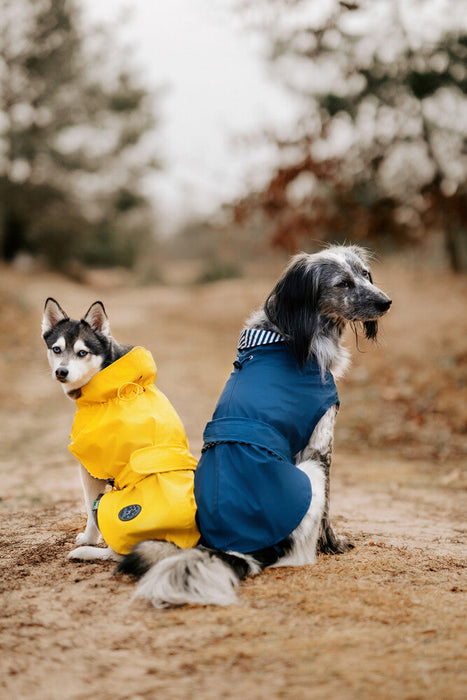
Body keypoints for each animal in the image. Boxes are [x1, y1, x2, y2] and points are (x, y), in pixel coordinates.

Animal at [119, 246, 394, 608]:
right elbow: (327, 512)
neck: (293, 336)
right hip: (309, 474)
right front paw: (333, 546)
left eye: (365, 274)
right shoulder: (321, 443)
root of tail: (234, 546)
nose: (386, 302)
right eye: (343, 283)